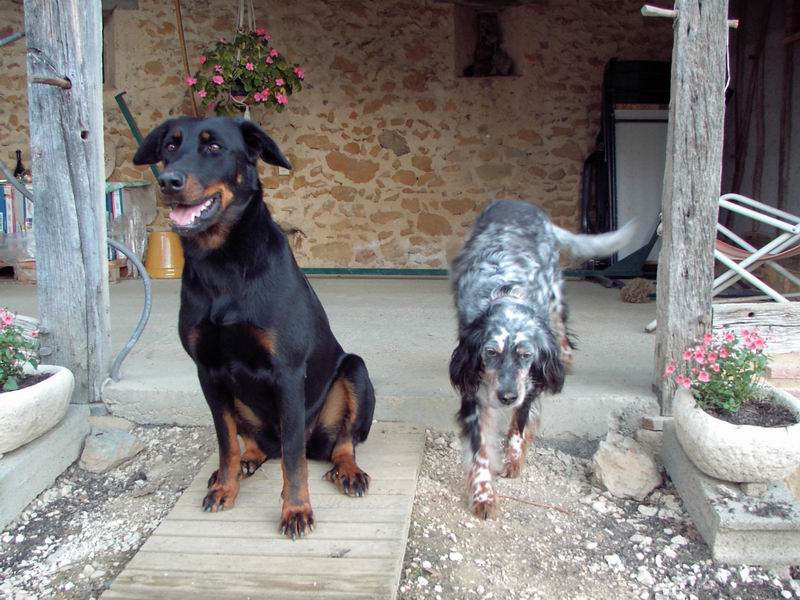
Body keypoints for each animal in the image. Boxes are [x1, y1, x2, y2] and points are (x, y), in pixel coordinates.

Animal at [134, 117, 376, 540]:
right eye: (169, 147)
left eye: (214, 147)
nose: (168, 181)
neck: (223, 264)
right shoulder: (207, 372)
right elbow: (225, 442)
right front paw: (225, 488)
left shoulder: (288, 372)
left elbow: (294, 459)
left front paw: (296, 509)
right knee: (253, 442)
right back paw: (243, 463)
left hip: (355, 371)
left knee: (339, 443)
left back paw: (348, 471)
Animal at [450, 199, 636, 516]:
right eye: (490, 352)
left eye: (526, 355)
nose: (507, 397)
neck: (505, 291)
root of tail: (516, 202)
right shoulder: (473, 387)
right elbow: (479, 450)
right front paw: (483, 494)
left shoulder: (531, 383)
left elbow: (519, 425)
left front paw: (513, 459)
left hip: (555, 293)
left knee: (560, 326)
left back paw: (565, 353)